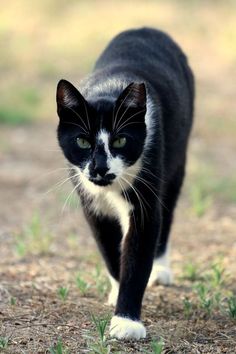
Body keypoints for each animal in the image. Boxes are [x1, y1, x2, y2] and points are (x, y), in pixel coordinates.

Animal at [56, 27, 195, 340]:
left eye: (120, 140)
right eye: (82, 141)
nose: (100, 167)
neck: (108, 88)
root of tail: (147, 28)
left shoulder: (146, 192)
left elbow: (139, 248)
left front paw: (126, 321)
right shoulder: (92, 204)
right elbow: (109, 247)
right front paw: (117, 292)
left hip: (176, 159)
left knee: (167, 211)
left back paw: (160, 269)